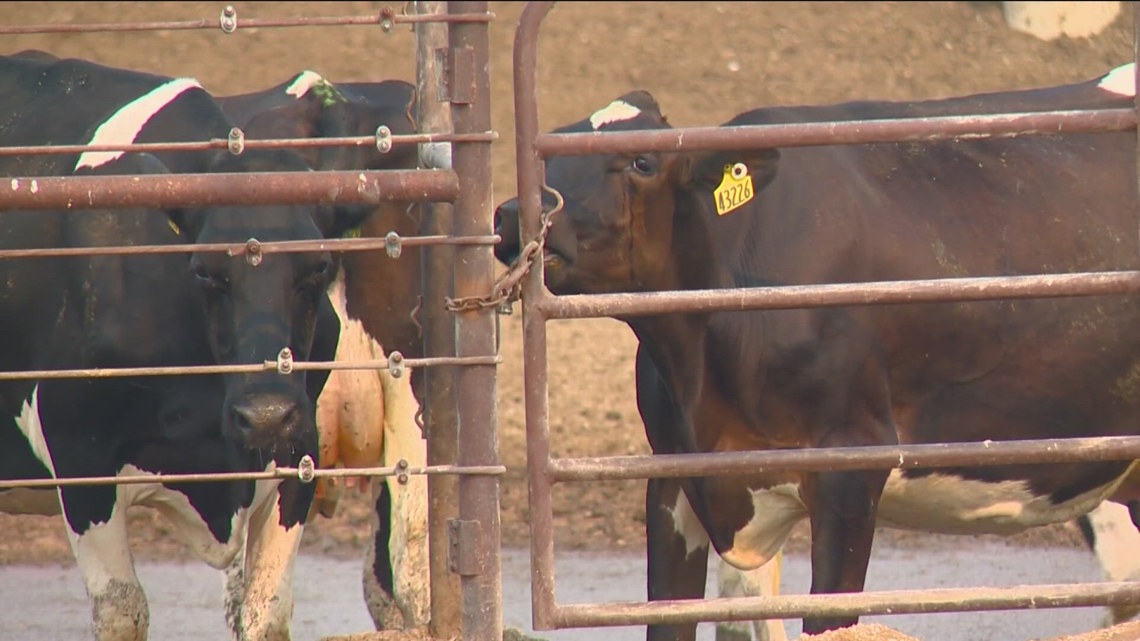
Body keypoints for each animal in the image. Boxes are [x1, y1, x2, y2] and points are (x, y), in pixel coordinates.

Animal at [0, 51, 357, 638]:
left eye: (319, 268)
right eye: (205, 272)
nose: (265, 414)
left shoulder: (300, 453)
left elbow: (265, 609)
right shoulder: (78, 455)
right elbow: (122, 607)